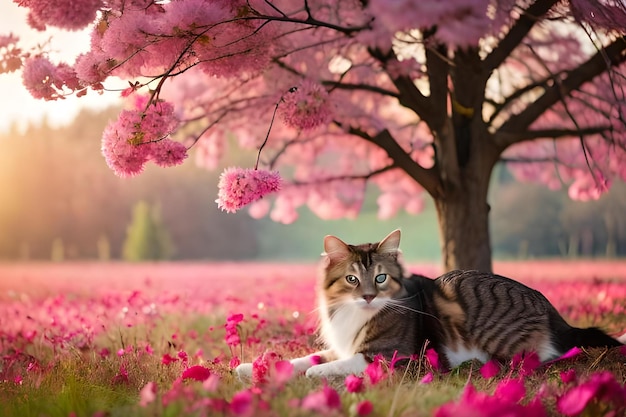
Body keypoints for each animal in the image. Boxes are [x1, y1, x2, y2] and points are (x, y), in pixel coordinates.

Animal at [235, 229, 624, 378]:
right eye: (352, 279)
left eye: (380, 278)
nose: (368, 296)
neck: (356, 315)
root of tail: (552, 310)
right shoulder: (341, 344)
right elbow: (306, 357)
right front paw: (251, 367)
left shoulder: (393, 355)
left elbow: (335, 365)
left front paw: (315, 373)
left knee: (541, 356)